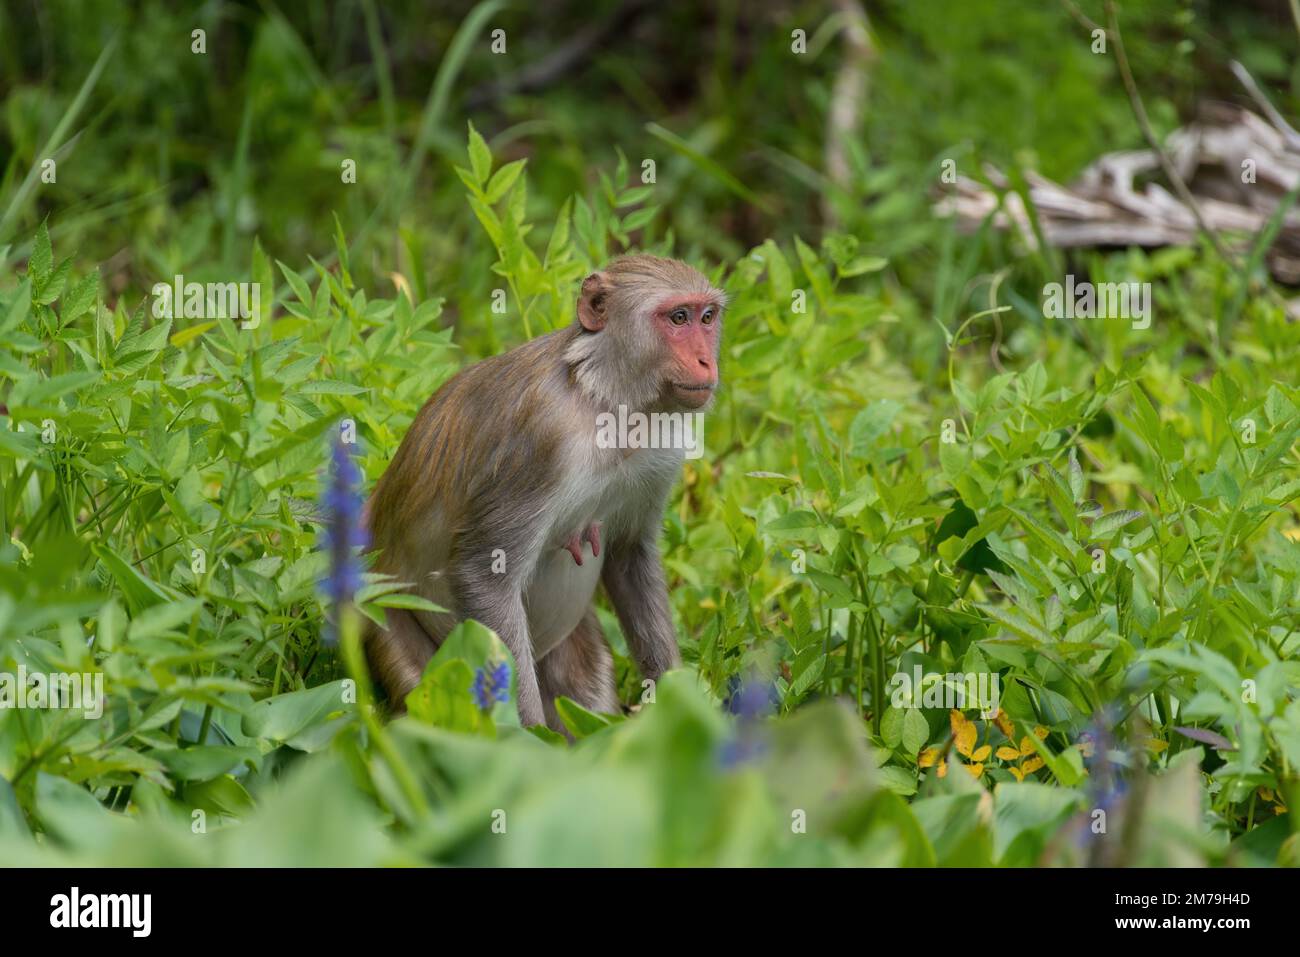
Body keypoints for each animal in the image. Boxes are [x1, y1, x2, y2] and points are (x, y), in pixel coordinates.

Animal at [366, 254, 728, 733]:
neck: (604, 398)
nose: (707, 361)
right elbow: (485, 576)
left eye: (707, 317)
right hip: (395, 630)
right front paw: (530, 743)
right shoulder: (541, 442)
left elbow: (628, 555)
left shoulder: (660, 450)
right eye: (678, 318)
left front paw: (677, 704)